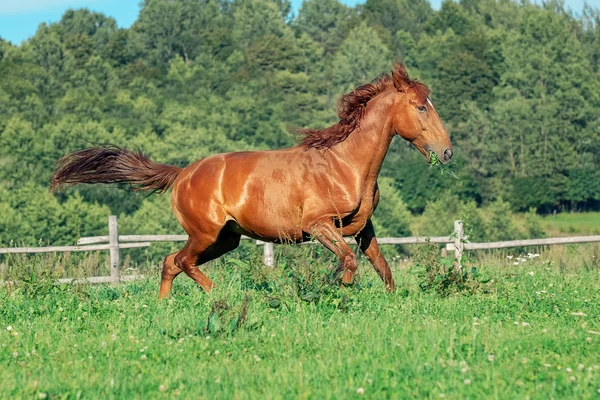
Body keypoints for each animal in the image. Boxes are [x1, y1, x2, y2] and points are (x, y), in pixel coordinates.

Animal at [51, 62, 452, 298]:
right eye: (421, 107)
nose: (447, 152)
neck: (345, 164)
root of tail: (182, 173)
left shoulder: (363, 227)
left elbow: (382, 268)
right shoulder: (319, 225)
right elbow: (350, 263)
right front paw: (340, 297)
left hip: (226, 239)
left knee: (170, 262)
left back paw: (165, 307)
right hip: (205, 234)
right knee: (183, 262)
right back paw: (220, 295)